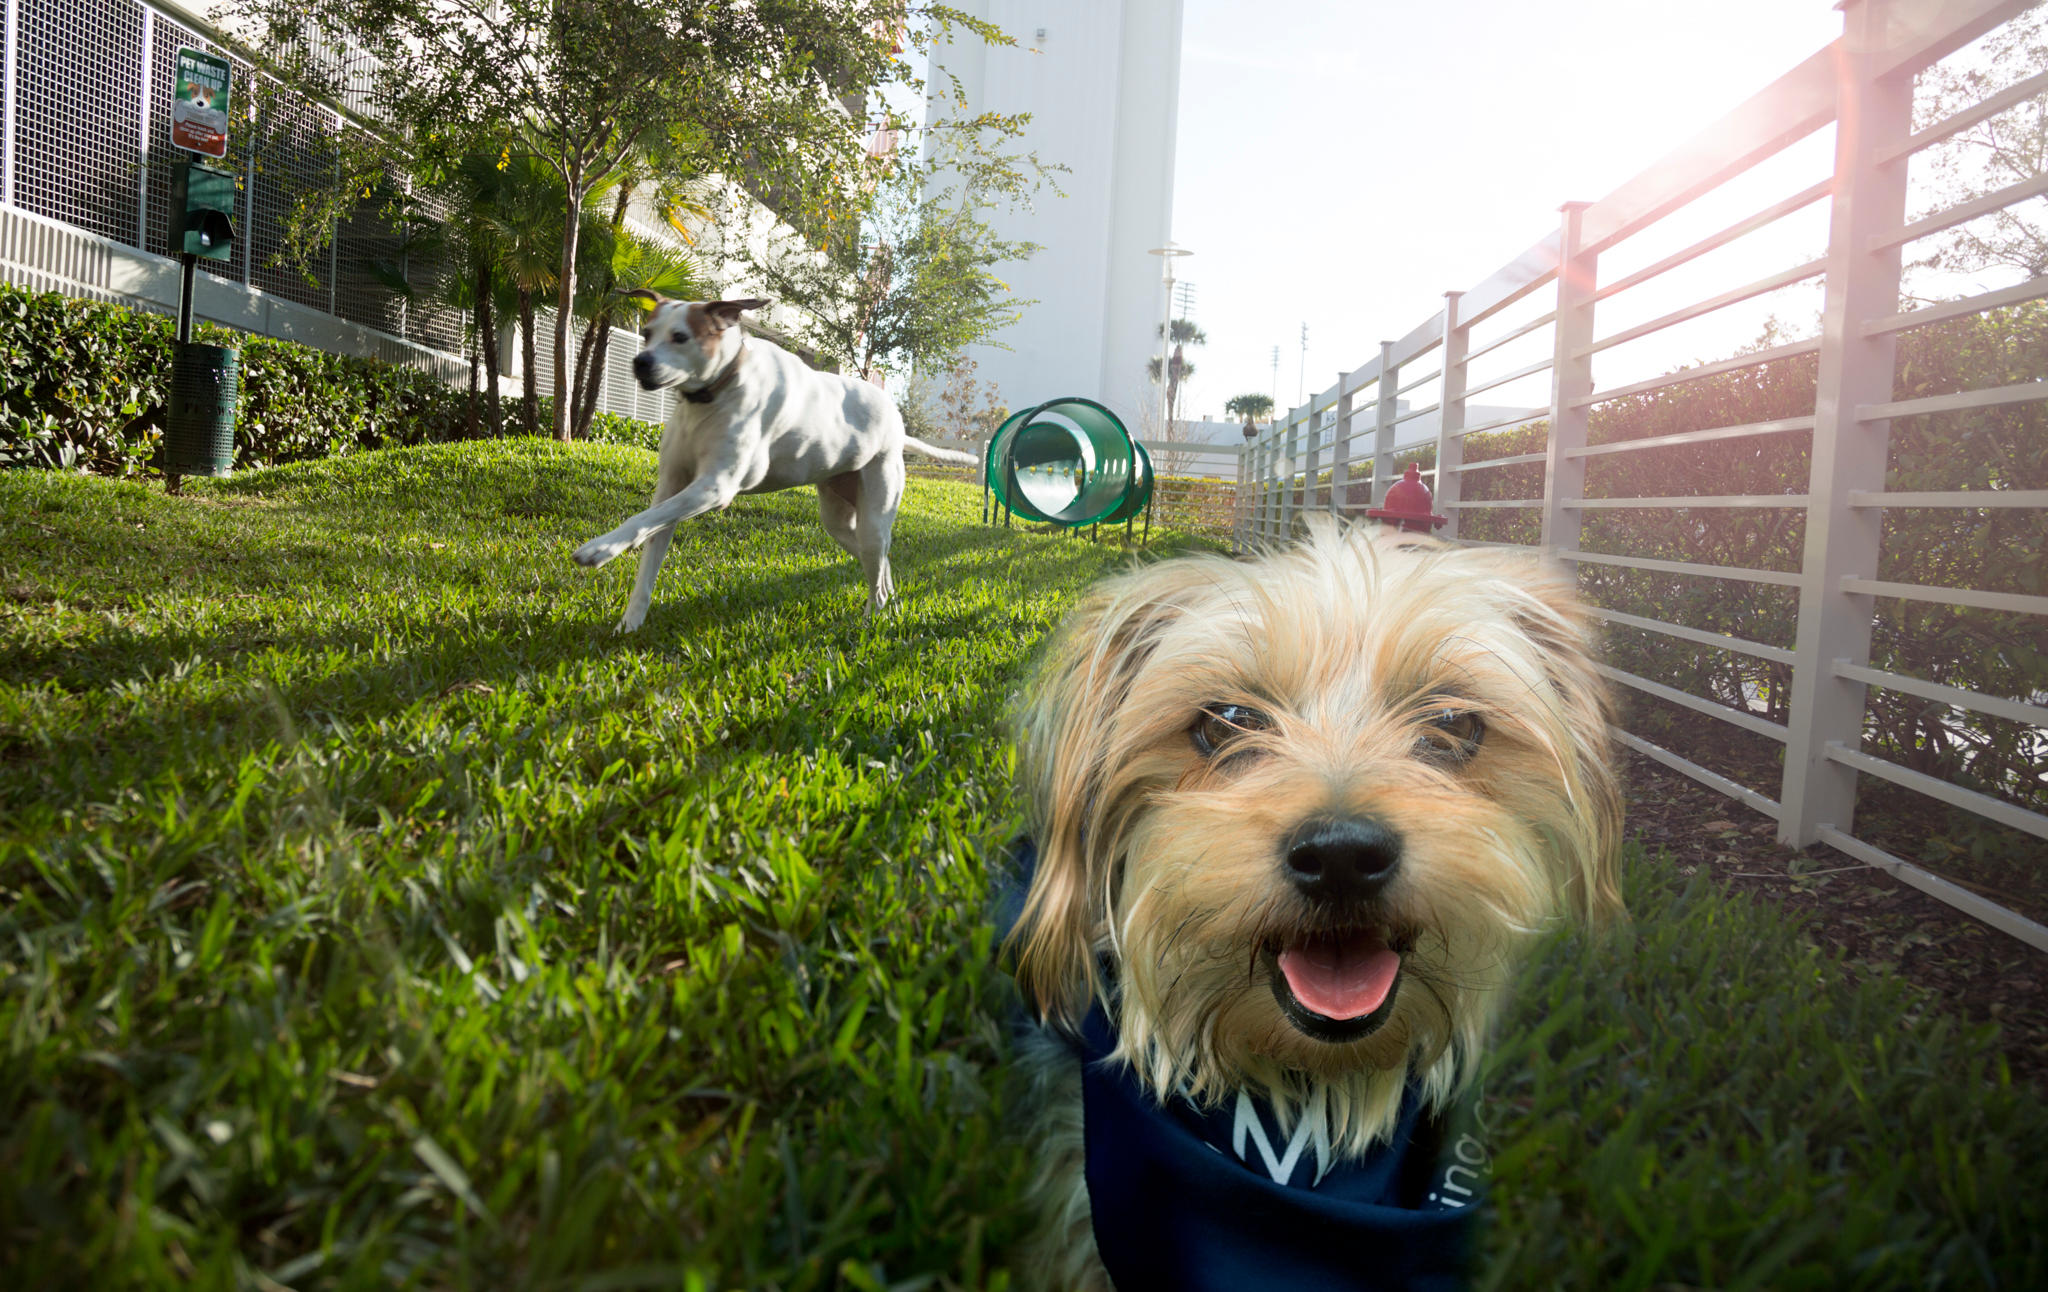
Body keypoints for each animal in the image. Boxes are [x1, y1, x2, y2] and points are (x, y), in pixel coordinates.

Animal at [573, 298, 978, 630]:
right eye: (646, 333)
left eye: (680, 337)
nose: (640, 362)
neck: (718, 389)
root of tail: (897, 424)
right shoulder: (672, 487)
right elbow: (649, 544)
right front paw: (630, 622)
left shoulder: (714, 486)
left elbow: (639, 519)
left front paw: (599, 549)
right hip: (839, 521)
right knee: (881, 564)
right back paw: (890, 606)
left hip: (874, 517)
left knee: (876, 571)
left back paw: (872, 618)